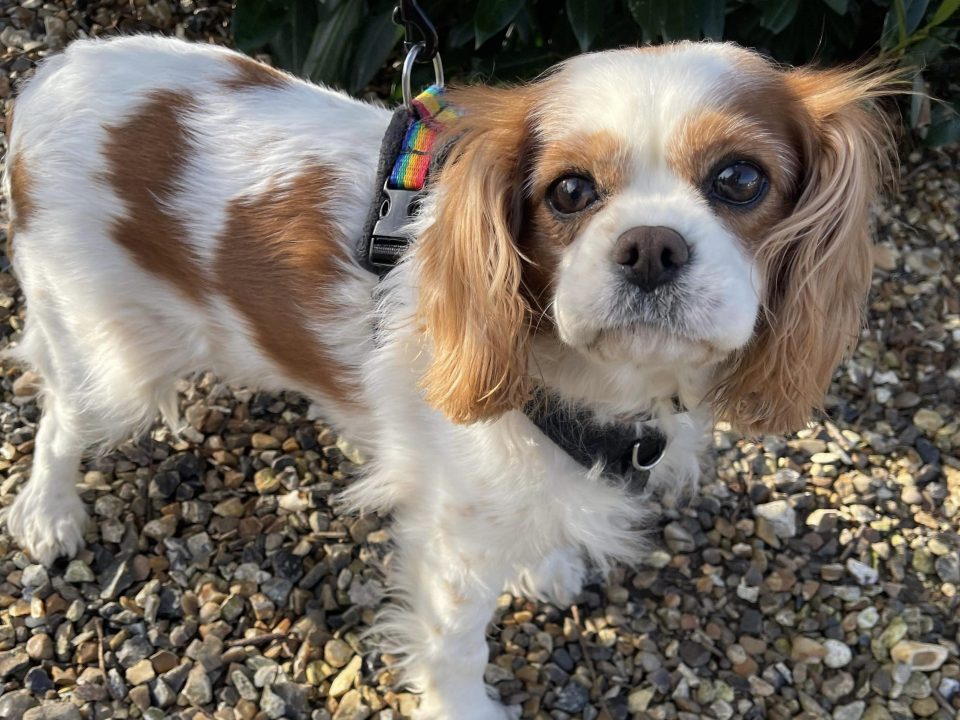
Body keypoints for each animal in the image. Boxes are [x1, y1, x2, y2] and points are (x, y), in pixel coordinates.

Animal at [3, 35, 896, 720]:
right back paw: (49, 513)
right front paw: (464, 706)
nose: (651, 246)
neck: (601, 382)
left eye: (741, 180)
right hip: (108, 351)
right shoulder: (454, 539)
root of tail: (53, 72)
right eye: (569, 191)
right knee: (61, 418)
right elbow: (456, 644)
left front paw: (546, 562)